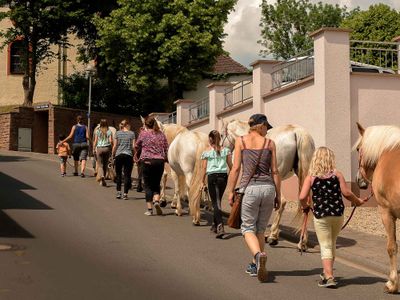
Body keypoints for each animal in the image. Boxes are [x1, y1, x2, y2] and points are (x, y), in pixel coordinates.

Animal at [222, 119, 316, 251]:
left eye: (221, 135)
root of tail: (297, 132)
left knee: (282, 202)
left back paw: (273, 236)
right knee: (305, 205)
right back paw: (302, 242)